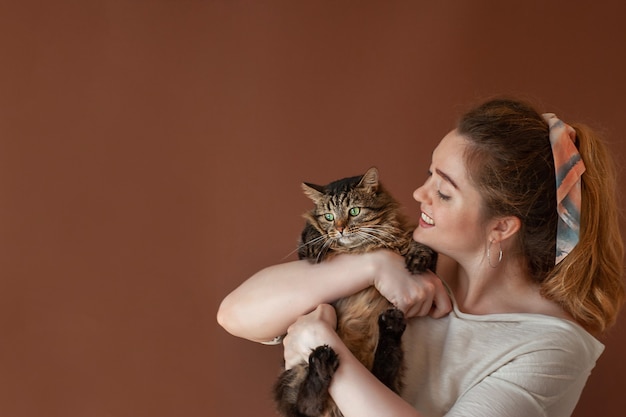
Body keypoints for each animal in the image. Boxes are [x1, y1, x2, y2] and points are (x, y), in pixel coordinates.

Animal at [270, 166, 436, 416]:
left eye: (354, 211)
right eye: (329, 217)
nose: (340, 230)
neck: (360, 247)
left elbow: (419, 246)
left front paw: (418, 255)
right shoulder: (303, 250)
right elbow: (311, 233)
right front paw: (318, 242)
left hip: (390, 371)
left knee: (383, 370)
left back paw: (391, 324)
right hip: (297, 372)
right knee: (307, 405)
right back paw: (322, 362)